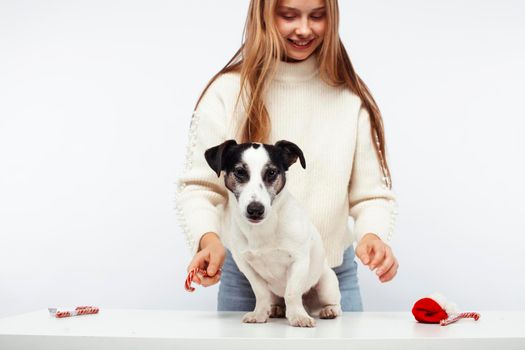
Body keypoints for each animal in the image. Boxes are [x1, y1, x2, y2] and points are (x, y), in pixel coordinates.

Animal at [203, 139, 342, 328]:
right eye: (239, 172)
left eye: (271, 172)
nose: (255, 209)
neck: (263, 229)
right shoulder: (246, 266)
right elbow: (261, 293)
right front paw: (260, 314)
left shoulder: (299, 261)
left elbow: (292, 292)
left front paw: (298, 316)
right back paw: (277, 308)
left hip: (326, 284)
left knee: (333, 302)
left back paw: (329, 310)